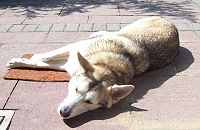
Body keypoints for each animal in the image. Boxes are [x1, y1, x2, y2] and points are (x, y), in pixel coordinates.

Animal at [6, 16, 179, 119]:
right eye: (76, 89)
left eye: (89, 102)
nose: (63, 113)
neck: (107, 66)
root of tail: (172, 23)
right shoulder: (74, 50)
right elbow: (42, 58)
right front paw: (20, 61)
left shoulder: (69, 64)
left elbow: (42, 62)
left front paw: (22, 61)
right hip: (131, 26)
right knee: (117, 30)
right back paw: (99, 33)